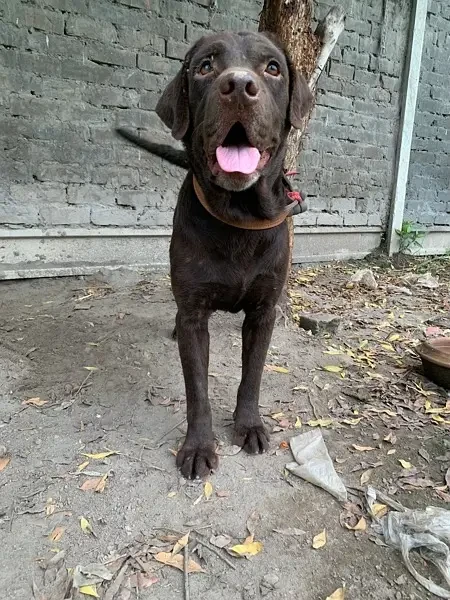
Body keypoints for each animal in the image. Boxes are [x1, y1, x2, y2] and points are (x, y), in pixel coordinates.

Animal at [118, 32, 312, 480]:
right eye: (205, 66)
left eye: (272, 68)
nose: (238, 85)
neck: (237, 216)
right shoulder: (193, 313)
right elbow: (197, 389)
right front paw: (198, 447)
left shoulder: (263, 312)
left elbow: (252, 375)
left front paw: (249, 425)